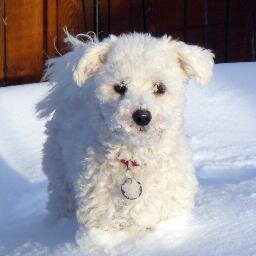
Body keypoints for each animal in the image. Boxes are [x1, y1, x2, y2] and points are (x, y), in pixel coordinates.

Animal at [38, 32, 214, 232]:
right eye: (120, 87)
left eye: (160, 87)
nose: (142, 116)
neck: (136, 159)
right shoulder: (100, 220)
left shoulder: (172, 212)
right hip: (60, 176)